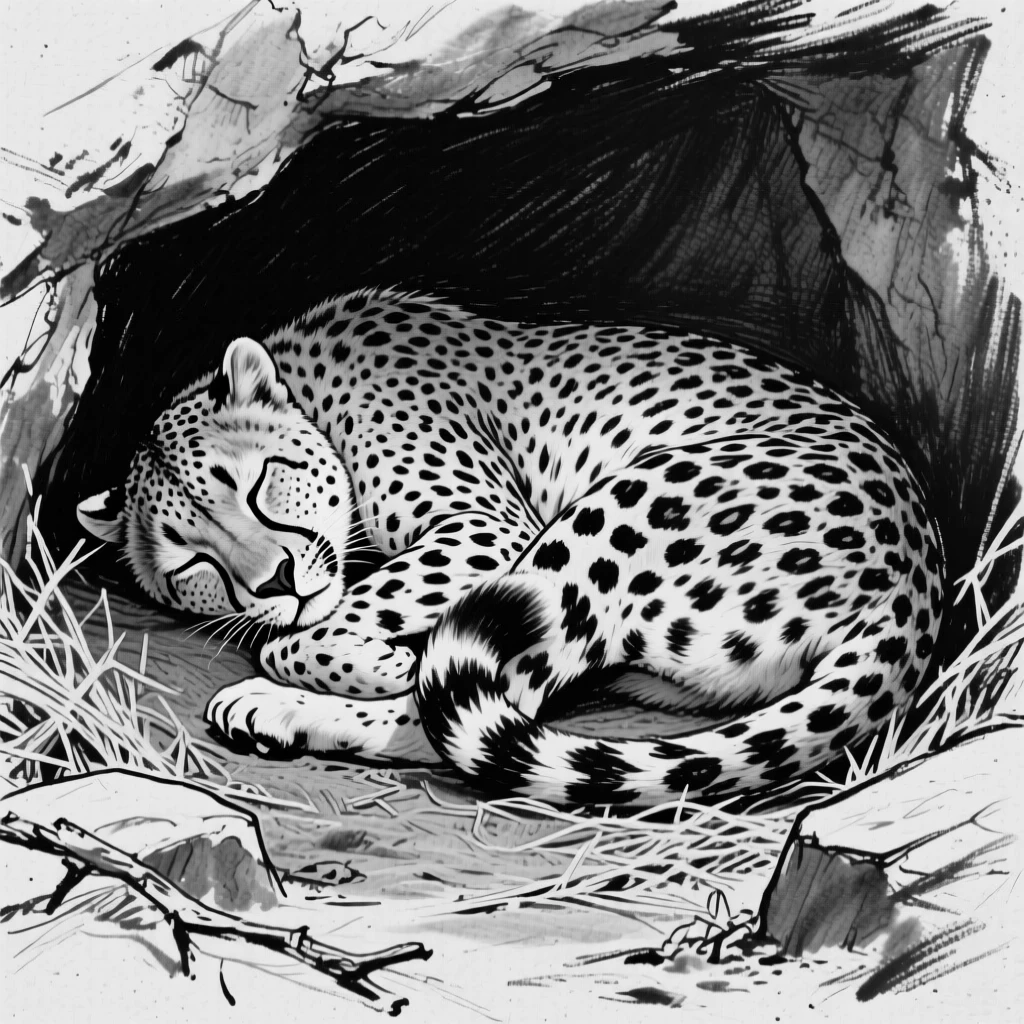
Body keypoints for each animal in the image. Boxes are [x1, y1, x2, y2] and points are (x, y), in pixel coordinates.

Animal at [78, 288, 944, 806]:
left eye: (257, 482)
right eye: (192, 563)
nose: (275, 582)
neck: (315, 391)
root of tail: (920, 579)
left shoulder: (488, 526)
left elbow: (308, 633)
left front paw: (378, 656)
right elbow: (308, 626)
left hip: (602, 528)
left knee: (469, 710)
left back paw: (279, 704)